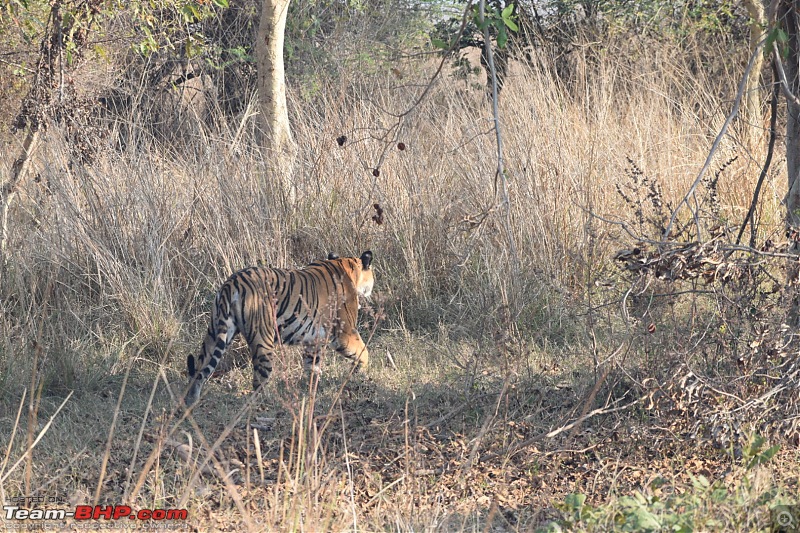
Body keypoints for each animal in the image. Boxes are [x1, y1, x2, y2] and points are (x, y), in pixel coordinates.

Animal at [185, 251, 376, 406]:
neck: (346, 266)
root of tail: (231, 283)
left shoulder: (312, 341)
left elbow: (312, 367)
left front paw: (312, 390)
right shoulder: (345, 332)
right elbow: (364, 352)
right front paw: (360, 374)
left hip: (215, 332)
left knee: (199, 371)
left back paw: (190, 401)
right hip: (263, 339)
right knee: (258, 381)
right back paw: (267, 403)